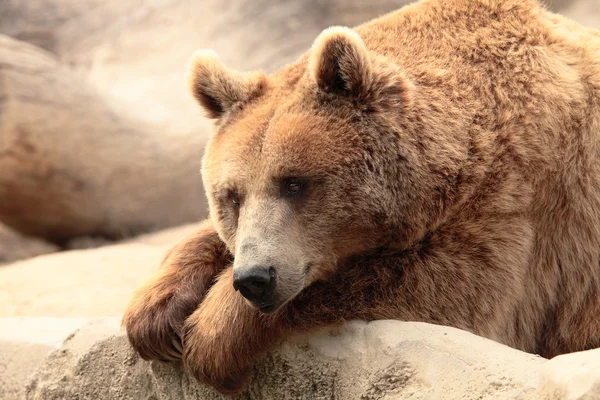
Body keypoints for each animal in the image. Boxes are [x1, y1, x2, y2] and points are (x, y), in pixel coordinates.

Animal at [122, 0, 600, 394]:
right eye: (232, 196)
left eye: (294, 182)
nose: (255, 277)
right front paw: (154, 311)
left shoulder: (520, 213)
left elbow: (439, 286)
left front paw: (210, 335)